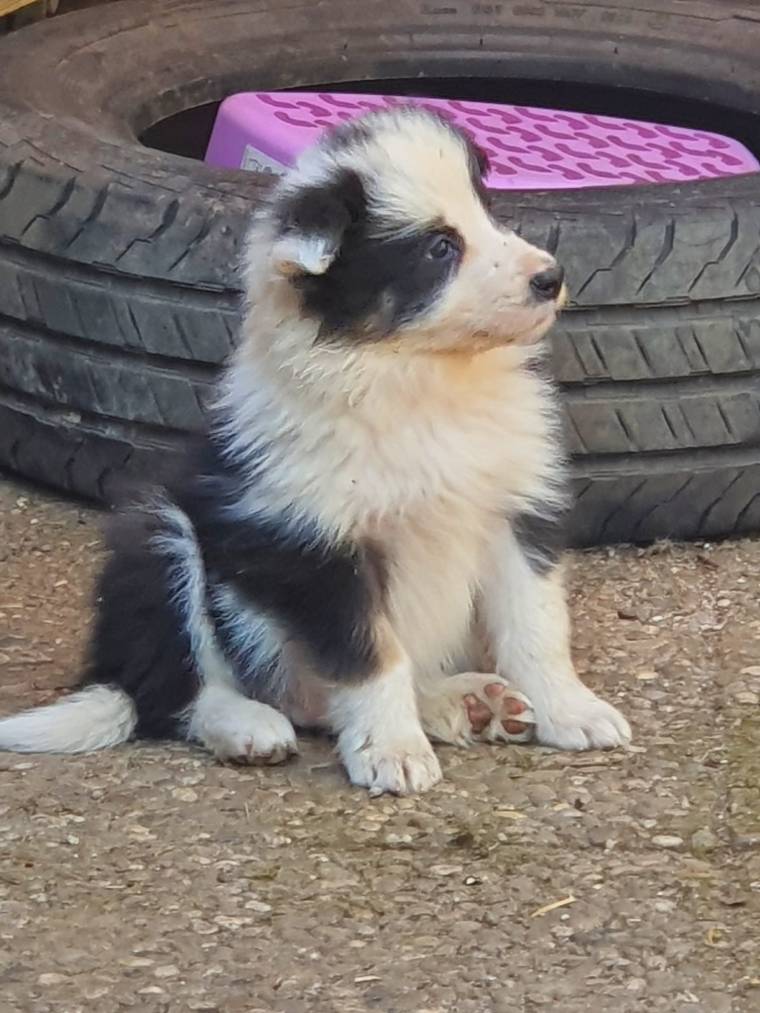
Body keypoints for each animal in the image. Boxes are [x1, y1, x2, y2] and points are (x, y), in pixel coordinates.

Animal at [0, 107, 631, 794]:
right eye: (439, 248)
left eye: (487, 213)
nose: (551, 278)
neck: (420, 377)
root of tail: (112, 669)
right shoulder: (318, 538)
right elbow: (370, 654)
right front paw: (392, 752)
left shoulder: (516, 509)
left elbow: (535, 625)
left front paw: (571, 711)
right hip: (159, 536)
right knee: (180, 690)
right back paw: (250, 725)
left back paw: (459, 700)